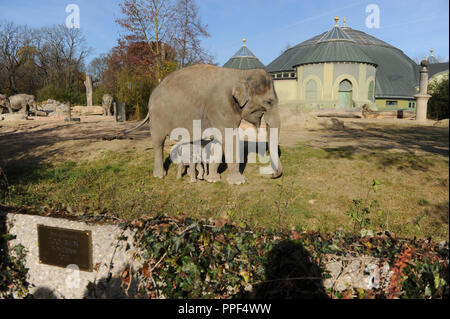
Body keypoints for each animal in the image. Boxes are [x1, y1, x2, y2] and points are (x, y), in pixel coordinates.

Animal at [125, 64, 284, 185]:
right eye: (269, 102)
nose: (271, 175)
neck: (240, 73)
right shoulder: (221, 106)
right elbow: (229, 139)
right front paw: (238, 182)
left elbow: (218, 143)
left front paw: (212, 179)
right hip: (158, 118)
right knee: (158, 142)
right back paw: (160, 175)